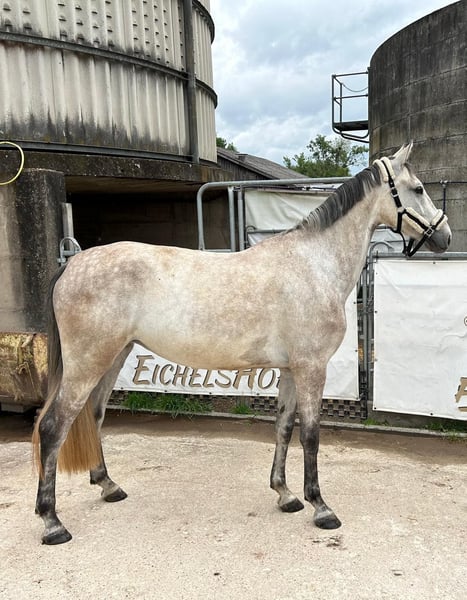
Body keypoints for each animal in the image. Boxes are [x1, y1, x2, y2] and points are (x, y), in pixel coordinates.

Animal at [32, 143, 451, 544]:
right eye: (418, 189)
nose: (445, 237)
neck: (314, 265)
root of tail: (73, 263)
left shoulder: (291, 369)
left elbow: (284, 427)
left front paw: (285, 495)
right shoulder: (312, 367)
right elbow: (311, 434)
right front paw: (321, 507)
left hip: (113, 356)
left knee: (93, 416)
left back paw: (108, 486)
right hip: (88, 363)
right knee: (53, 426)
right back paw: (52, 523)